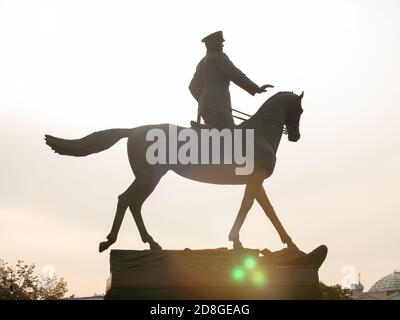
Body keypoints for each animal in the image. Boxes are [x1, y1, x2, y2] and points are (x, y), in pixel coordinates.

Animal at [44, 90, 304, 252]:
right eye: (300, 110)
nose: (295, 136)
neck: (259, 134)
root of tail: (133, 130)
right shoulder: (255, 178)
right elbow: (249, 205)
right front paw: (236, 240)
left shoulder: (255, 180)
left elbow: (267, 209)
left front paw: (291, 243)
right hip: (149, 177)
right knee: (128, 199)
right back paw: (117, 241)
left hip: (146, 177)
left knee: (131, 202)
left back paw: (146, 243)